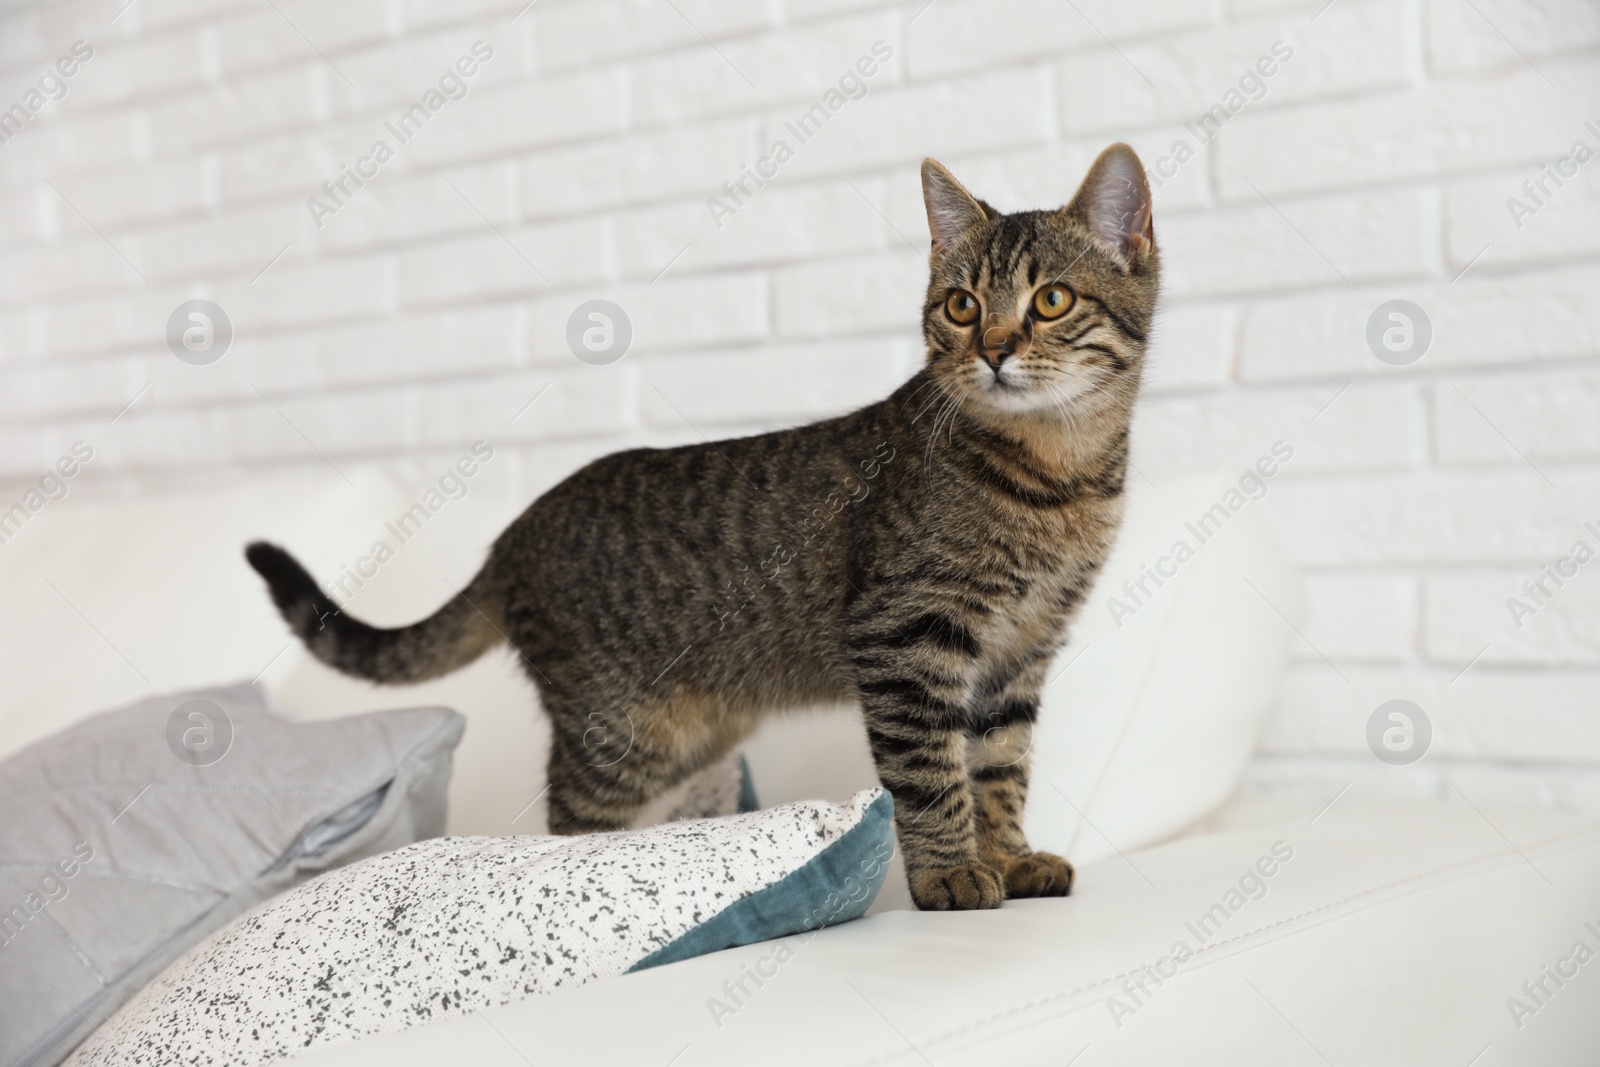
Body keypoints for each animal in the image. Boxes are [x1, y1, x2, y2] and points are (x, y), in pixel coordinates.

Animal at [243, 141, 1158, 908]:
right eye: (963, 307)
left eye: (1051, 299)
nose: (994, 349)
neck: (1060, 476)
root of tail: (512, 535)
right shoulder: (904, 637)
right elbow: (933, 775)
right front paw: (949, 873)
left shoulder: (1021, 652)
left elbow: (1000, 770)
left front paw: (1008, 854)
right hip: (619, 730)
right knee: (568, 826)